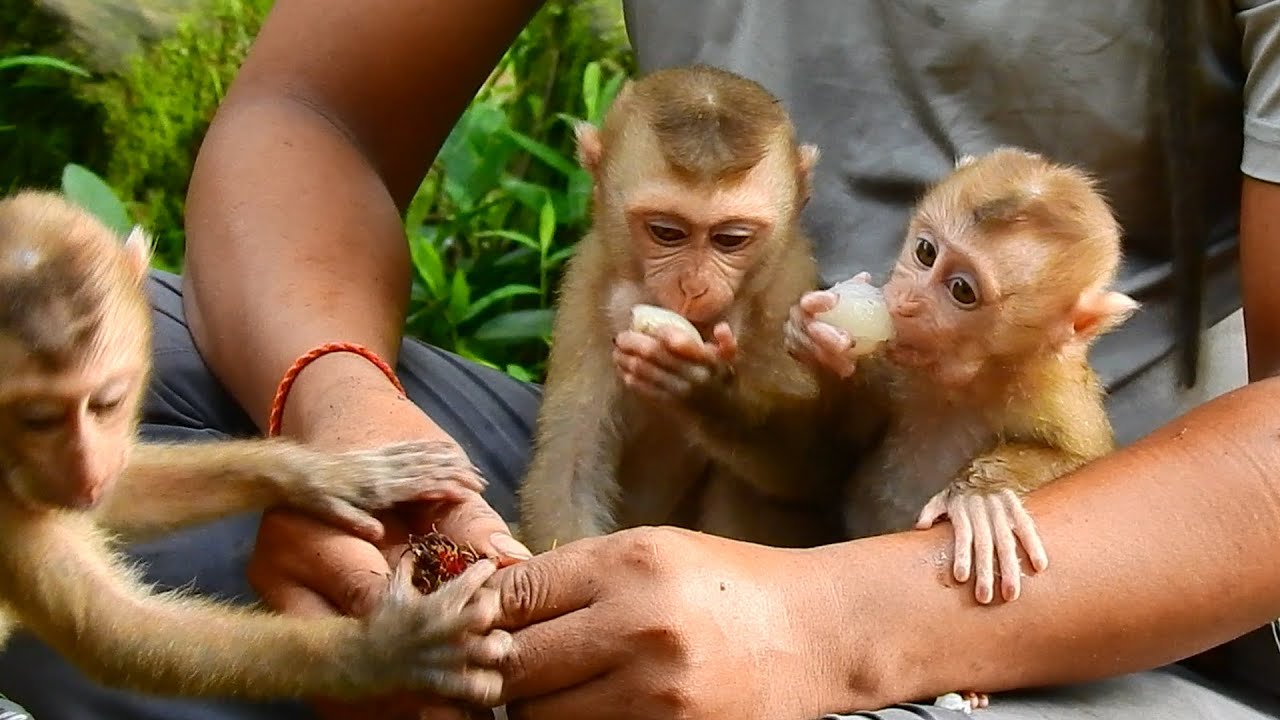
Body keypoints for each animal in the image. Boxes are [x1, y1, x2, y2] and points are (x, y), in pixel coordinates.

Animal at [0, 190, 510, 704]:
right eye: (38, 420)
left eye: (107, 403)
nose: (86, 471)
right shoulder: (12, 515)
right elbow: (117, 634)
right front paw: (391, 648)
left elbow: (119, 495)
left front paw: (331, 477)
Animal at [517, 64, 872, 553]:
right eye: (667, 232)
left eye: (730, 239)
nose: (693, 286)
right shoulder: (589, 282)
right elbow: (566, 472)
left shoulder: (785, 288)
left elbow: (816, 471)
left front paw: (703, 392)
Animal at [787, 147, 1139, 606]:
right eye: (925, 251)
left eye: (962, 291)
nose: (905, 302)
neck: (966, 381)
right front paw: (811, 336)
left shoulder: (1053, 391)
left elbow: (1089, 459)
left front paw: (981, 496)